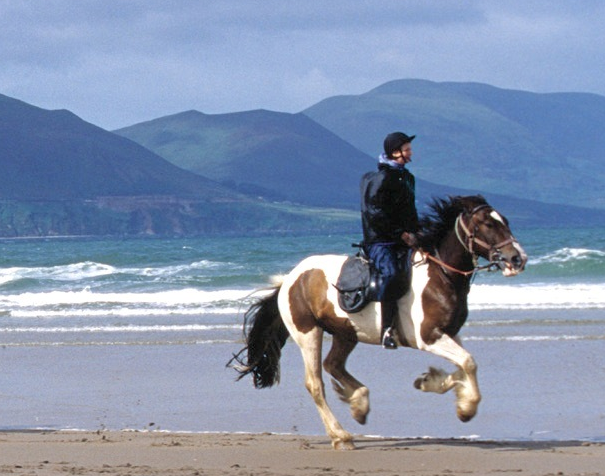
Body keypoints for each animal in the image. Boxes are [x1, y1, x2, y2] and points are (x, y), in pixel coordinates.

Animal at [229, 195, 528, 448]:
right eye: (488, 224)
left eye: (505, 220)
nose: (518, 258)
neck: (441, 274)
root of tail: (290, 279)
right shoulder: (428, 337)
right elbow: (469, 362)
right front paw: (466, 408)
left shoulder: (450, 334)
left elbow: (463, 365)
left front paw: (430, 382)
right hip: (308, 334)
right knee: (315, 383)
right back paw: (341, 435)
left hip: (346, 333)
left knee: (333, 364)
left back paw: (359, 402)